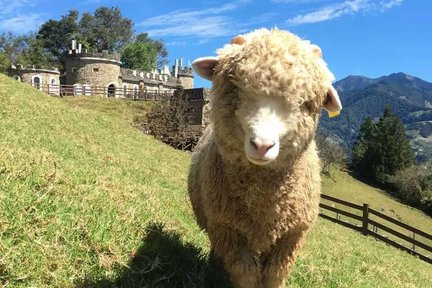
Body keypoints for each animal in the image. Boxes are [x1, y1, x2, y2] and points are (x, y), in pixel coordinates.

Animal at [187, 28, 342, 288]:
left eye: (306, 103)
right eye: (234, 86)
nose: (262, 145)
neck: (264, 202)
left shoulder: (291, 236)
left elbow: (273, 275)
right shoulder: (227, 229)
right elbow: (247, 274)